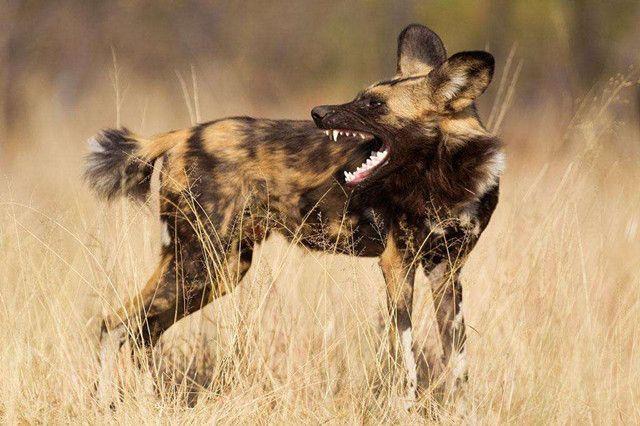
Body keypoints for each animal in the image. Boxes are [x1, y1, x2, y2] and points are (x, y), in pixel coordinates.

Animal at [87, 24, 502, 406]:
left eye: (375, 106)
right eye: (361, 97)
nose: (318, 112)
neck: (445, 178)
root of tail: (183, 134)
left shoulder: (446, 271)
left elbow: (457, 363)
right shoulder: (398, 264)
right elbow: (407, 359)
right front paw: (405, 408)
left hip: (219, 270)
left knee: (140, 331)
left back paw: (149, 401)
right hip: (200, 263)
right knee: (115, 325)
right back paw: (109, 402)